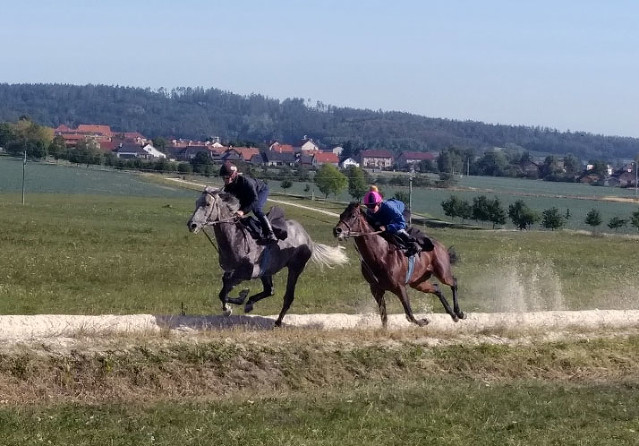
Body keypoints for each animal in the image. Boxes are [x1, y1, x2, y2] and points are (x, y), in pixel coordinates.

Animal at [189, 186, 350, 326]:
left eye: (207, 204)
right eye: (196, 202)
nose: (192, 225)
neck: (235, 237)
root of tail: (308, 238)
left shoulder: (246, 273)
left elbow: (226, 287)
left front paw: (232, 305)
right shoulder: (234, 270)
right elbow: (224, 287)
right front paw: (235, 303)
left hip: (295, 268)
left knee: (288, 296)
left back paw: (278, 322)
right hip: (267, 271)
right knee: (269, 290)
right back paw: (250, 303)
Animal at [336, 202, 464, 328]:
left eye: (352, 216)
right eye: (341, 215)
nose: (337, 230)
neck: (380, 254)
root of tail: (440, 245)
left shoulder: (399, 287)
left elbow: (409, 315)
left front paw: (424, 321)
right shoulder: (376, 289)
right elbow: (384, 317)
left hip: (442, 273)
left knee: (454, 282)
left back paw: (459, 312)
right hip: (418, 282)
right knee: (437, 289)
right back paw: (453, 315)